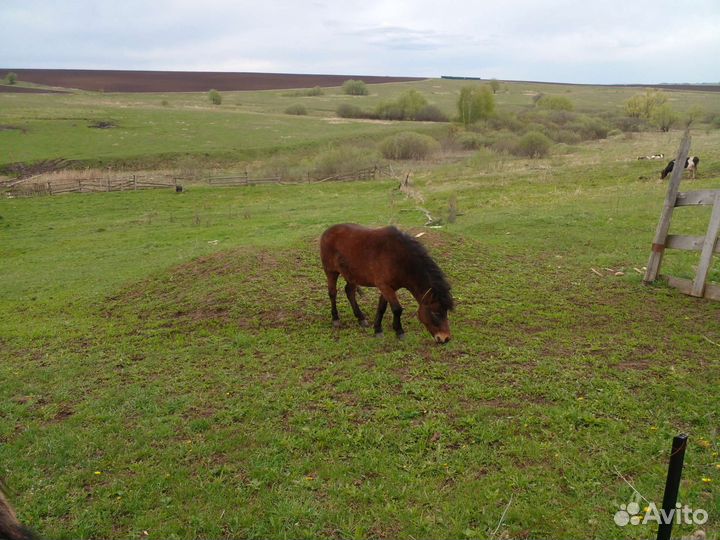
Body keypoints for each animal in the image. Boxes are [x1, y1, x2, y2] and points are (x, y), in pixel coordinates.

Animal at [320, 223, 454, 343]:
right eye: (435, 313)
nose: (445, 338)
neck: (399, 258)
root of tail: (328, 231)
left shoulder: (389, 288)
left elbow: (382, 307)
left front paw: (378, 329)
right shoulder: (384, 286)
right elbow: (397, 309)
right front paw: (399, 331)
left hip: (351, 275)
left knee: (349, 292)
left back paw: (361, 318)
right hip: (331, 272)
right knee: (332, 293)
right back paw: (336, 319)